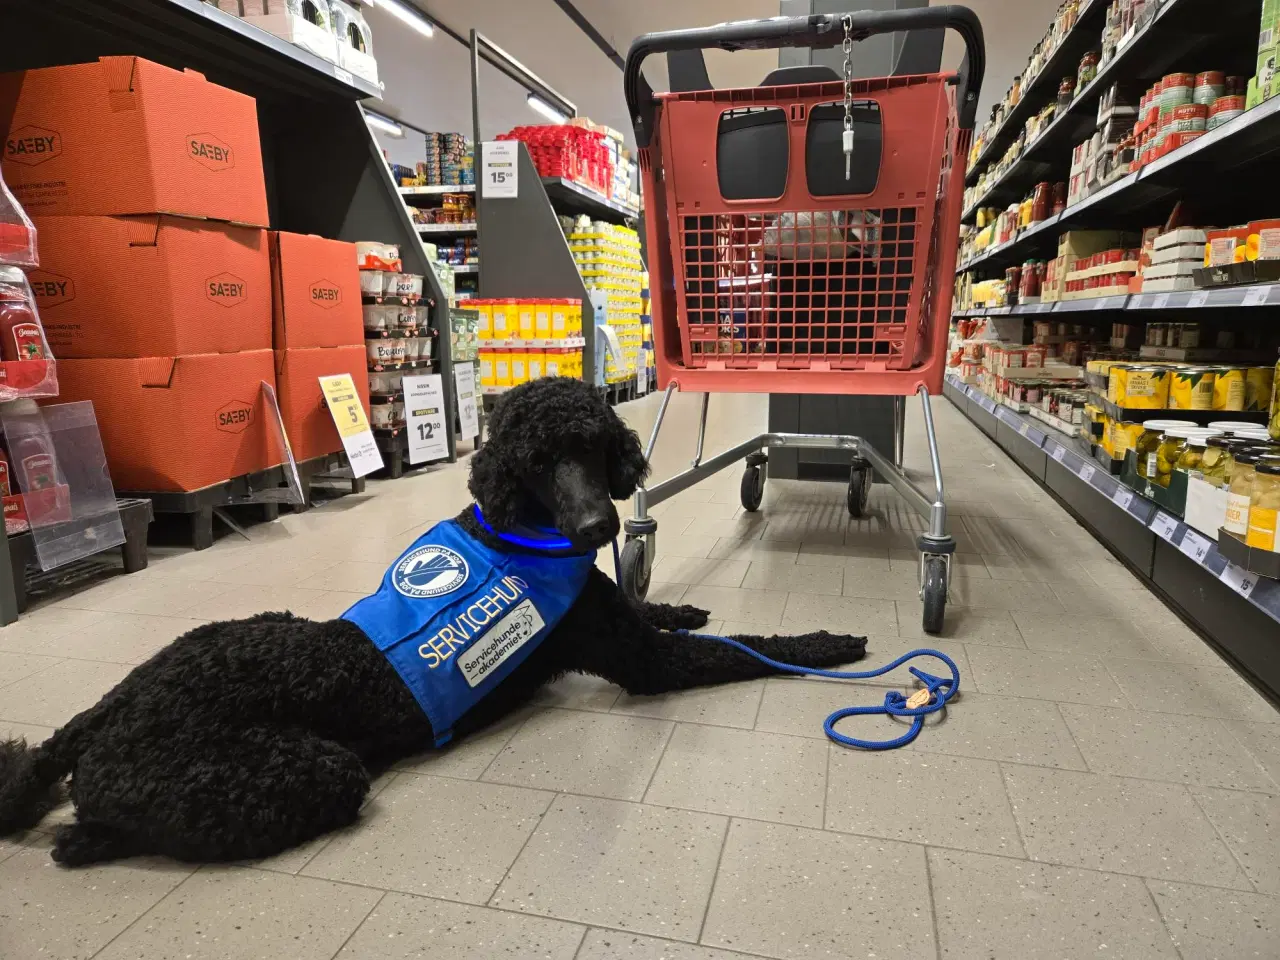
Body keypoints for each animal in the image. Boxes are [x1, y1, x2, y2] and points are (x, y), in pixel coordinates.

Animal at [0, 378, 870, 870]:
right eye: (538, 460)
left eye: (593, 447)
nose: (597, 526)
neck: (514, 529)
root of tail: (105, 716)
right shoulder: (641, 661)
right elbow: (739, 649)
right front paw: (825, 643)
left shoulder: (617, 617)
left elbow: (656, 610)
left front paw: (685, 604)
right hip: (305, 769)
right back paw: (86, 838)